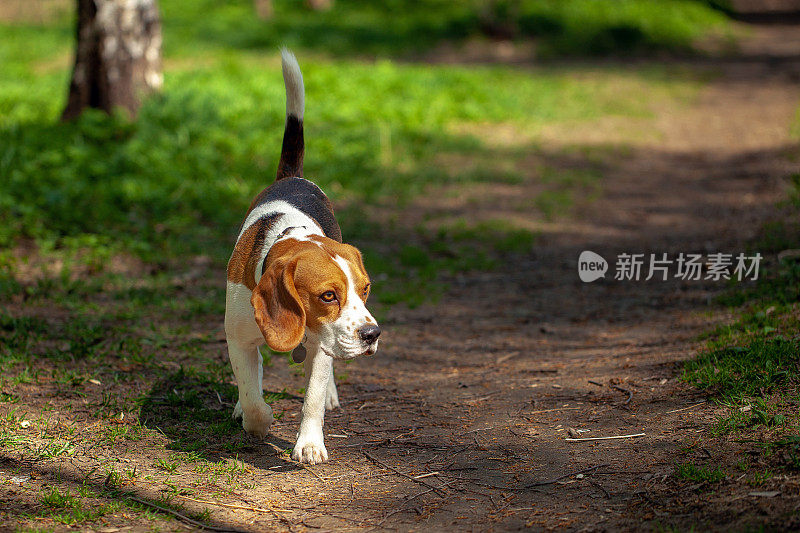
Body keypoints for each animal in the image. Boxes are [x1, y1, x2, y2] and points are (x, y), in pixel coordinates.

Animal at [225, 52, 382, 464]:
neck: (290, 237)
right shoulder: (238, 337)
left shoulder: (324, 342)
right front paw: (256, 419)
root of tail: (292, 177)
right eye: (328, 295)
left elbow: (311, 396)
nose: (372, 334)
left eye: (365, 290)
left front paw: (310, 443)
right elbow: (251, 388)